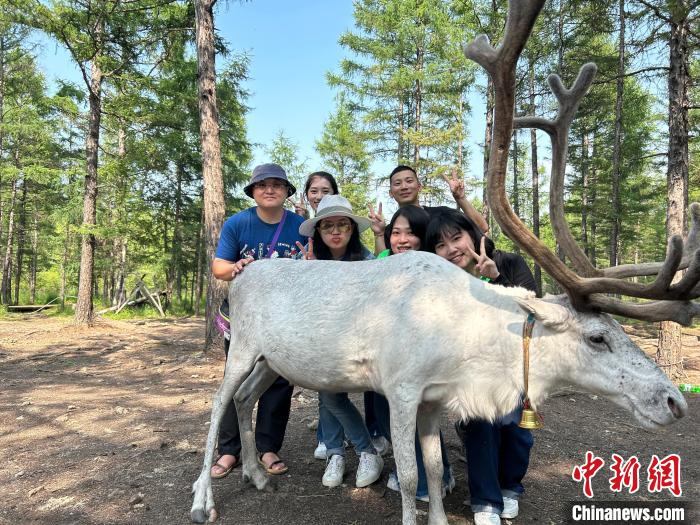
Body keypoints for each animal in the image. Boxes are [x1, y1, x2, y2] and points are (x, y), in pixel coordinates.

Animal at [191, 1, 697, 524]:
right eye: (598, 337)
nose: (675, 401)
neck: (467, 347)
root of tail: (241, 278)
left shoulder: (435, 398)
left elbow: (434, 469)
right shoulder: (400, 387)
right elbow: (411, 471)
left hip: (274, 359)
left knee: (246, 398)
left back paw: (257, 474)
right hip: (242, 345)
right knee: (219, 401)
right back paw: (202, 499)